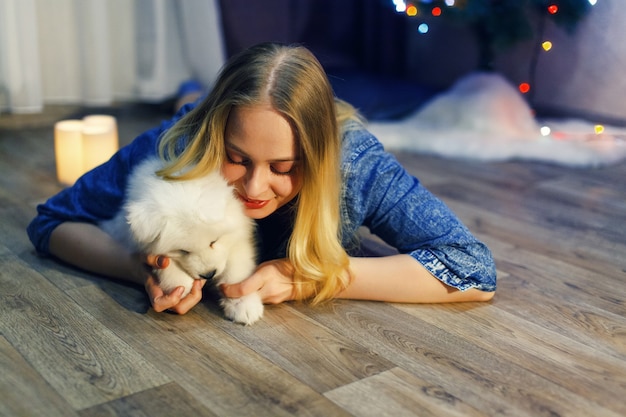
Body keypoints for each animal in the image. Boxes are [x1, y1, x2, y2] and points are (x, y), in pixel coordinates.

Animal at [100, 158, 260, 324]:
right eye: (183, 251)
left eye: (213, 242)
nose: (209, 274)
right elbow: (166, 263)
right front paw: (180, 285)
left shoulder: (238, 237)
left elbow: (236, 270)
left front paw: (243, 304)